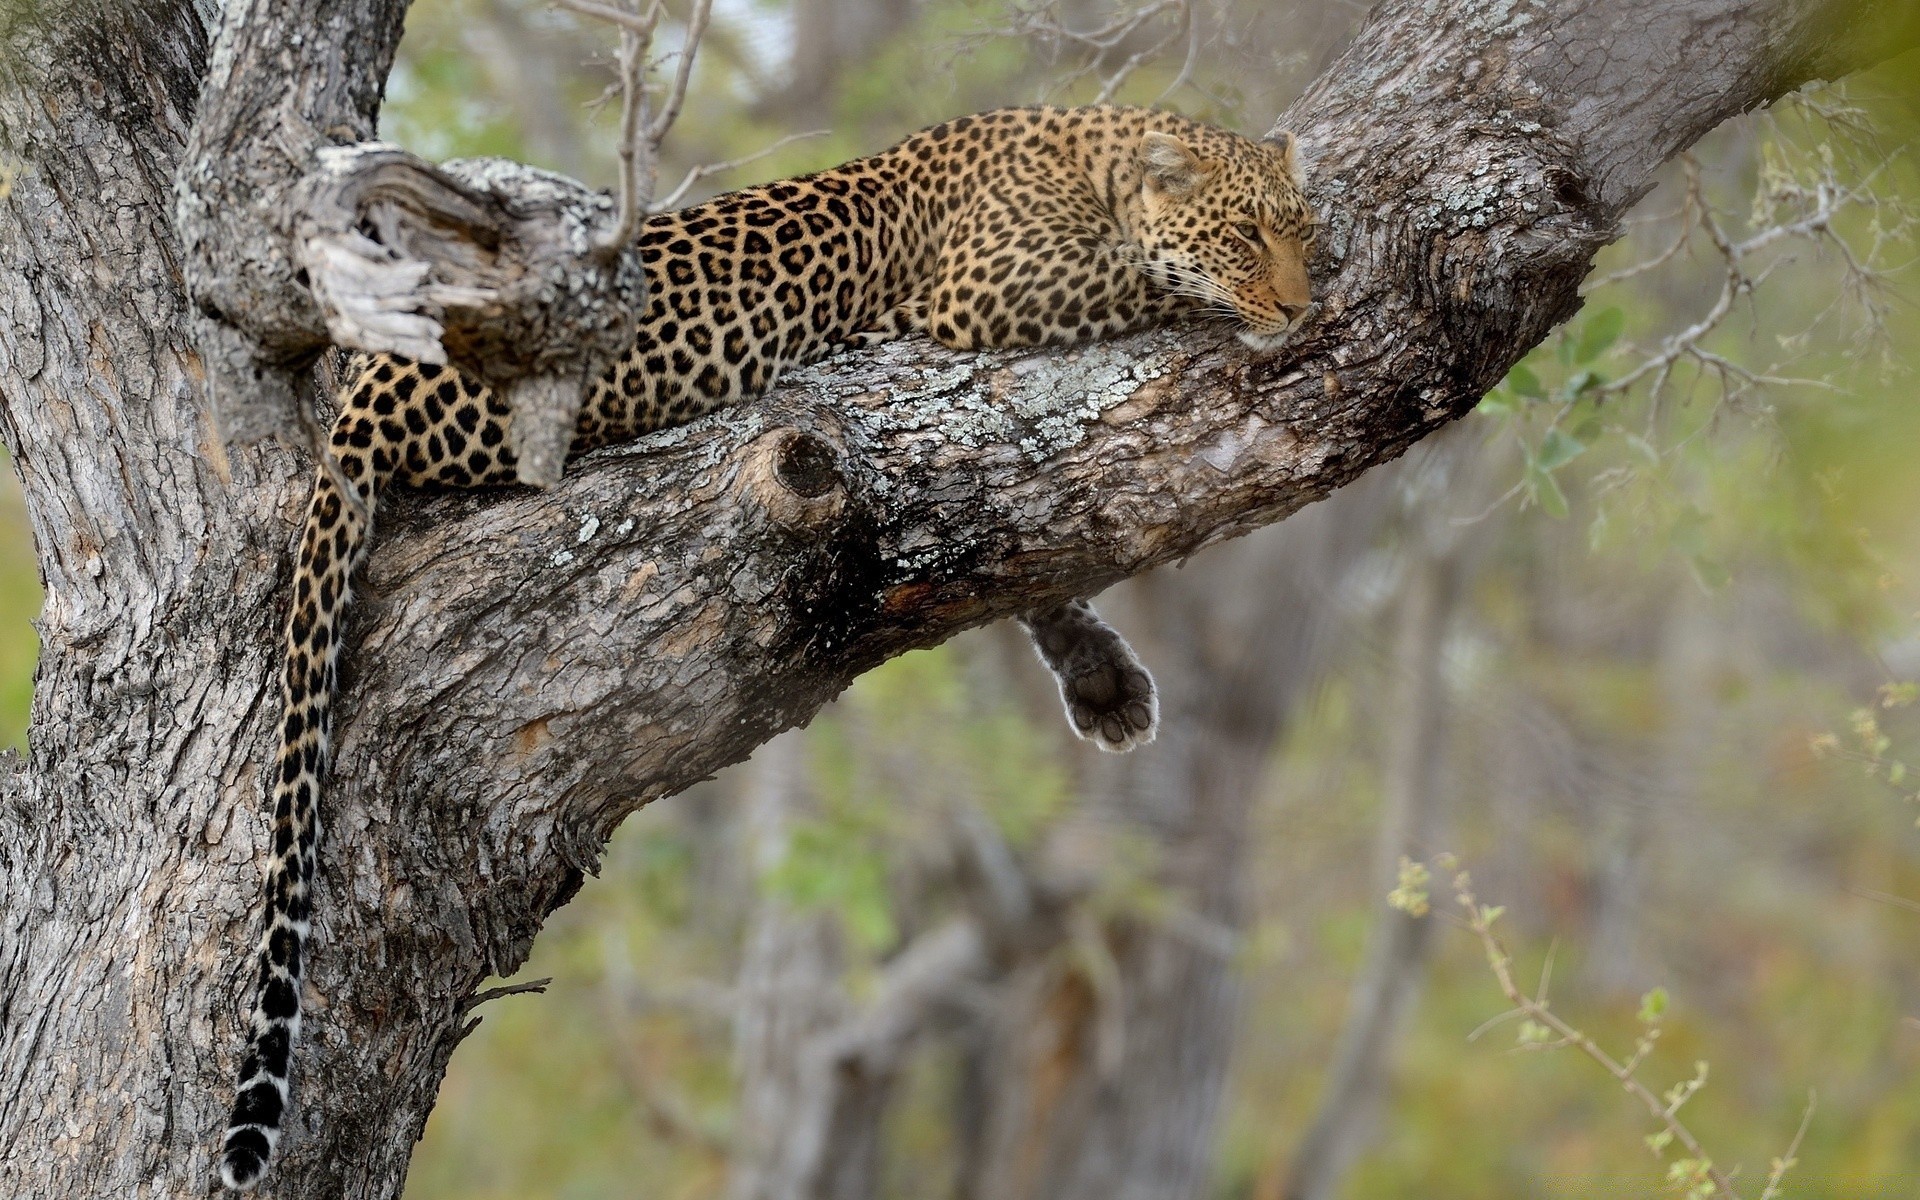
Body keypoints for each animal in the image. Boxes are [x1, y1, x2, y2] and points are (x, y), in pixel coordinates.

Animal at [217, 102, 1313, 1190]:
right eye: (1247, 234)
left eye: (1296, 227)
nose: (1306, 305)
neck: (1100, 160)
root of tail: (369, 388)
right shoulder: (988, 291)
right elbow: (1143, 278)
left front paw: (1102, 679)